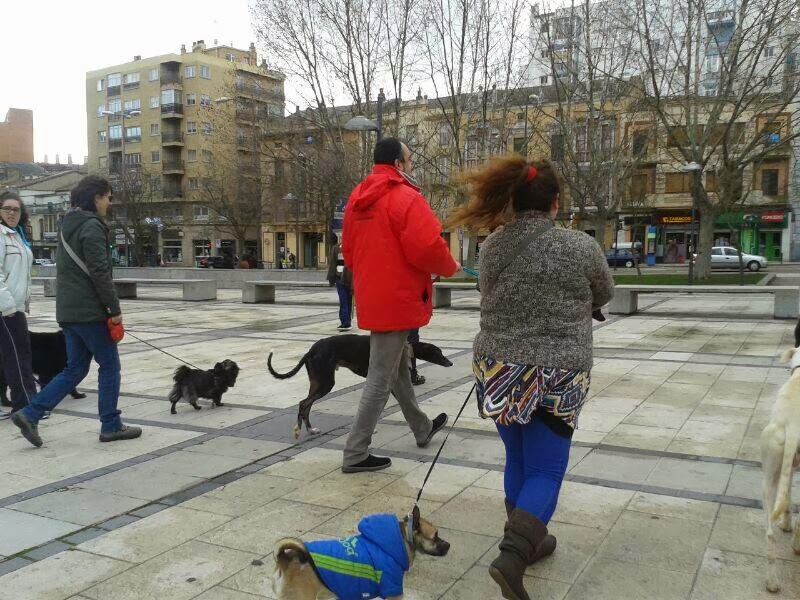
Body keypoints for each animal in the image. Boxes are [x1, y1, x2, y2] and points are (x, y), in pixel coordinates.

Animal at [266, 334, 453, 438]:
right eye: (439, 352)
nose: (450, 363)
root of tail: (311, 350)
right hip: (325, 382)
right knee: (304, 403)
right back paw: (300, 430)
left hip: (318, 381)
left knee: (306, 404)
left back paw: (310, 430)